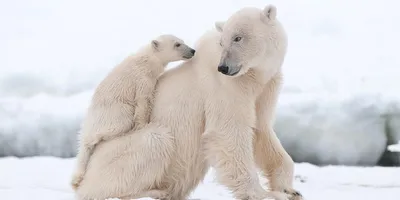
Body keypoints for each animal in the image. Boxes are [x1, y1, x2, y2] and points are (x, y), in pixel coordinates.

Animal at [71, 34, 197, 191]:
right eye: (177, 44)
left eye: (182, 41)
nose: (192, 51)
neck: (148, 58)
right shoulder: (142, 78)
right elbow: (143, 101)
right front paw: (143, 125)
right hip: (113, 112)